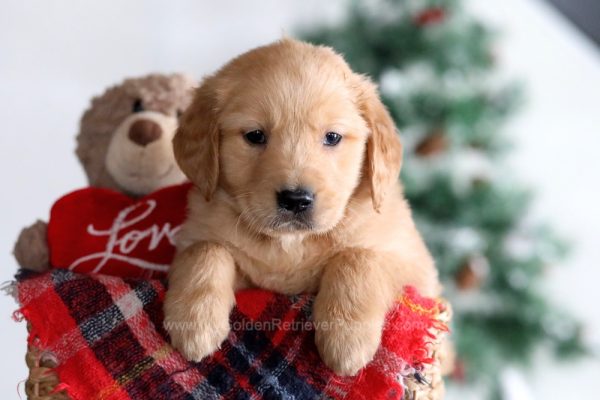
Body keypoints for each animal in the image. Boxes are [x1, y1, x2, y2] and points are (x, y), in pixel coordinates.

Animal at [162, 39, 438, 376]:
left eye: (332, 137)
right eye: (255, 135)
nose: (296, 200)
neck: (291, 244)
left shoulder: (416, 270)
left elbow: (357, 257)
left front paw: (347, 338)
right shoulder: (198, 237)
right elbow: (205, 250)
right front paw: (194, 322)